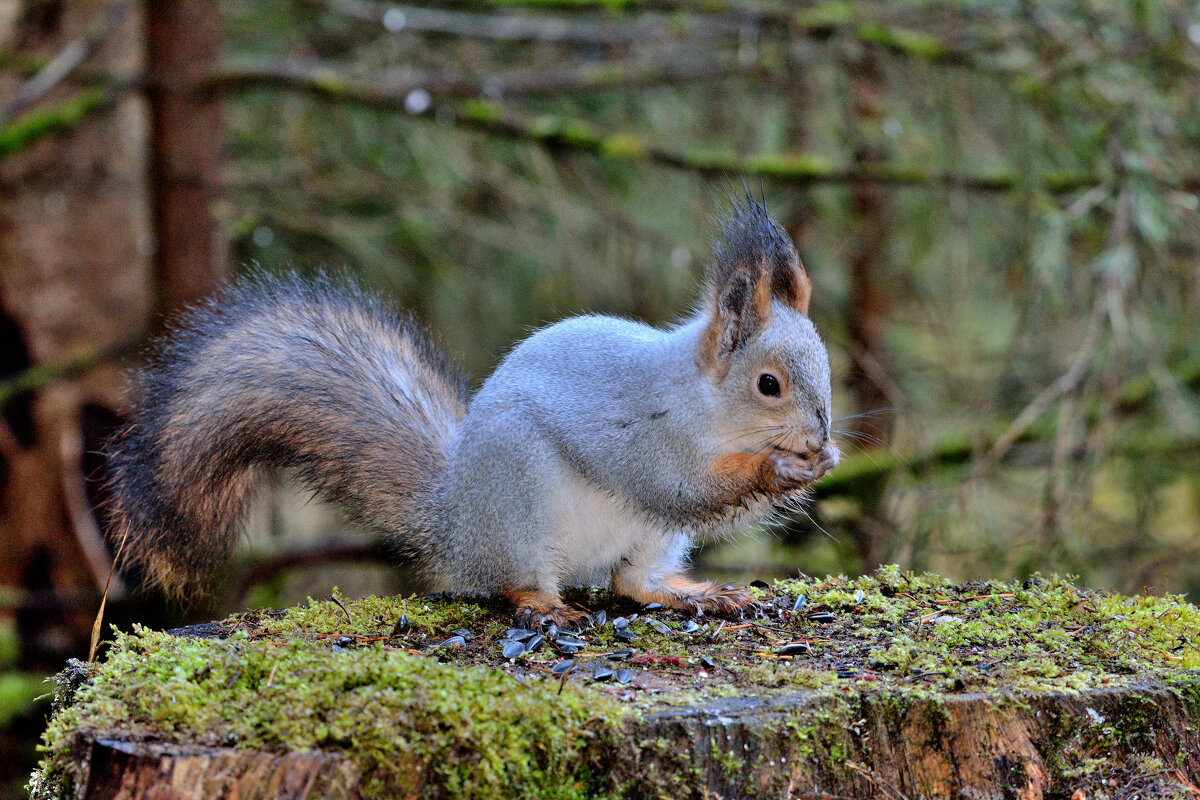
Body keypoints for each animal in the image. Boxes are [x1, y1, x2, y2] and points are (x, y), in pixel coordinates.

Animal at [103, 196, 840, 628]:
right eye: (769, 385)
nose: (819, 435)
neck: (703, 404)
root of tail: (452, 522)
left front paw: (819, 461)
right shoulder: (643, 436)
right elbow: (679, 488)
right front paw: (780, 468)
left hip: (646, 541)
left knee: (631, 586)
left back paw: (690, 593)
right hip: (520, 508)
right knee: (511, 583)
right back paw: (545, 605)